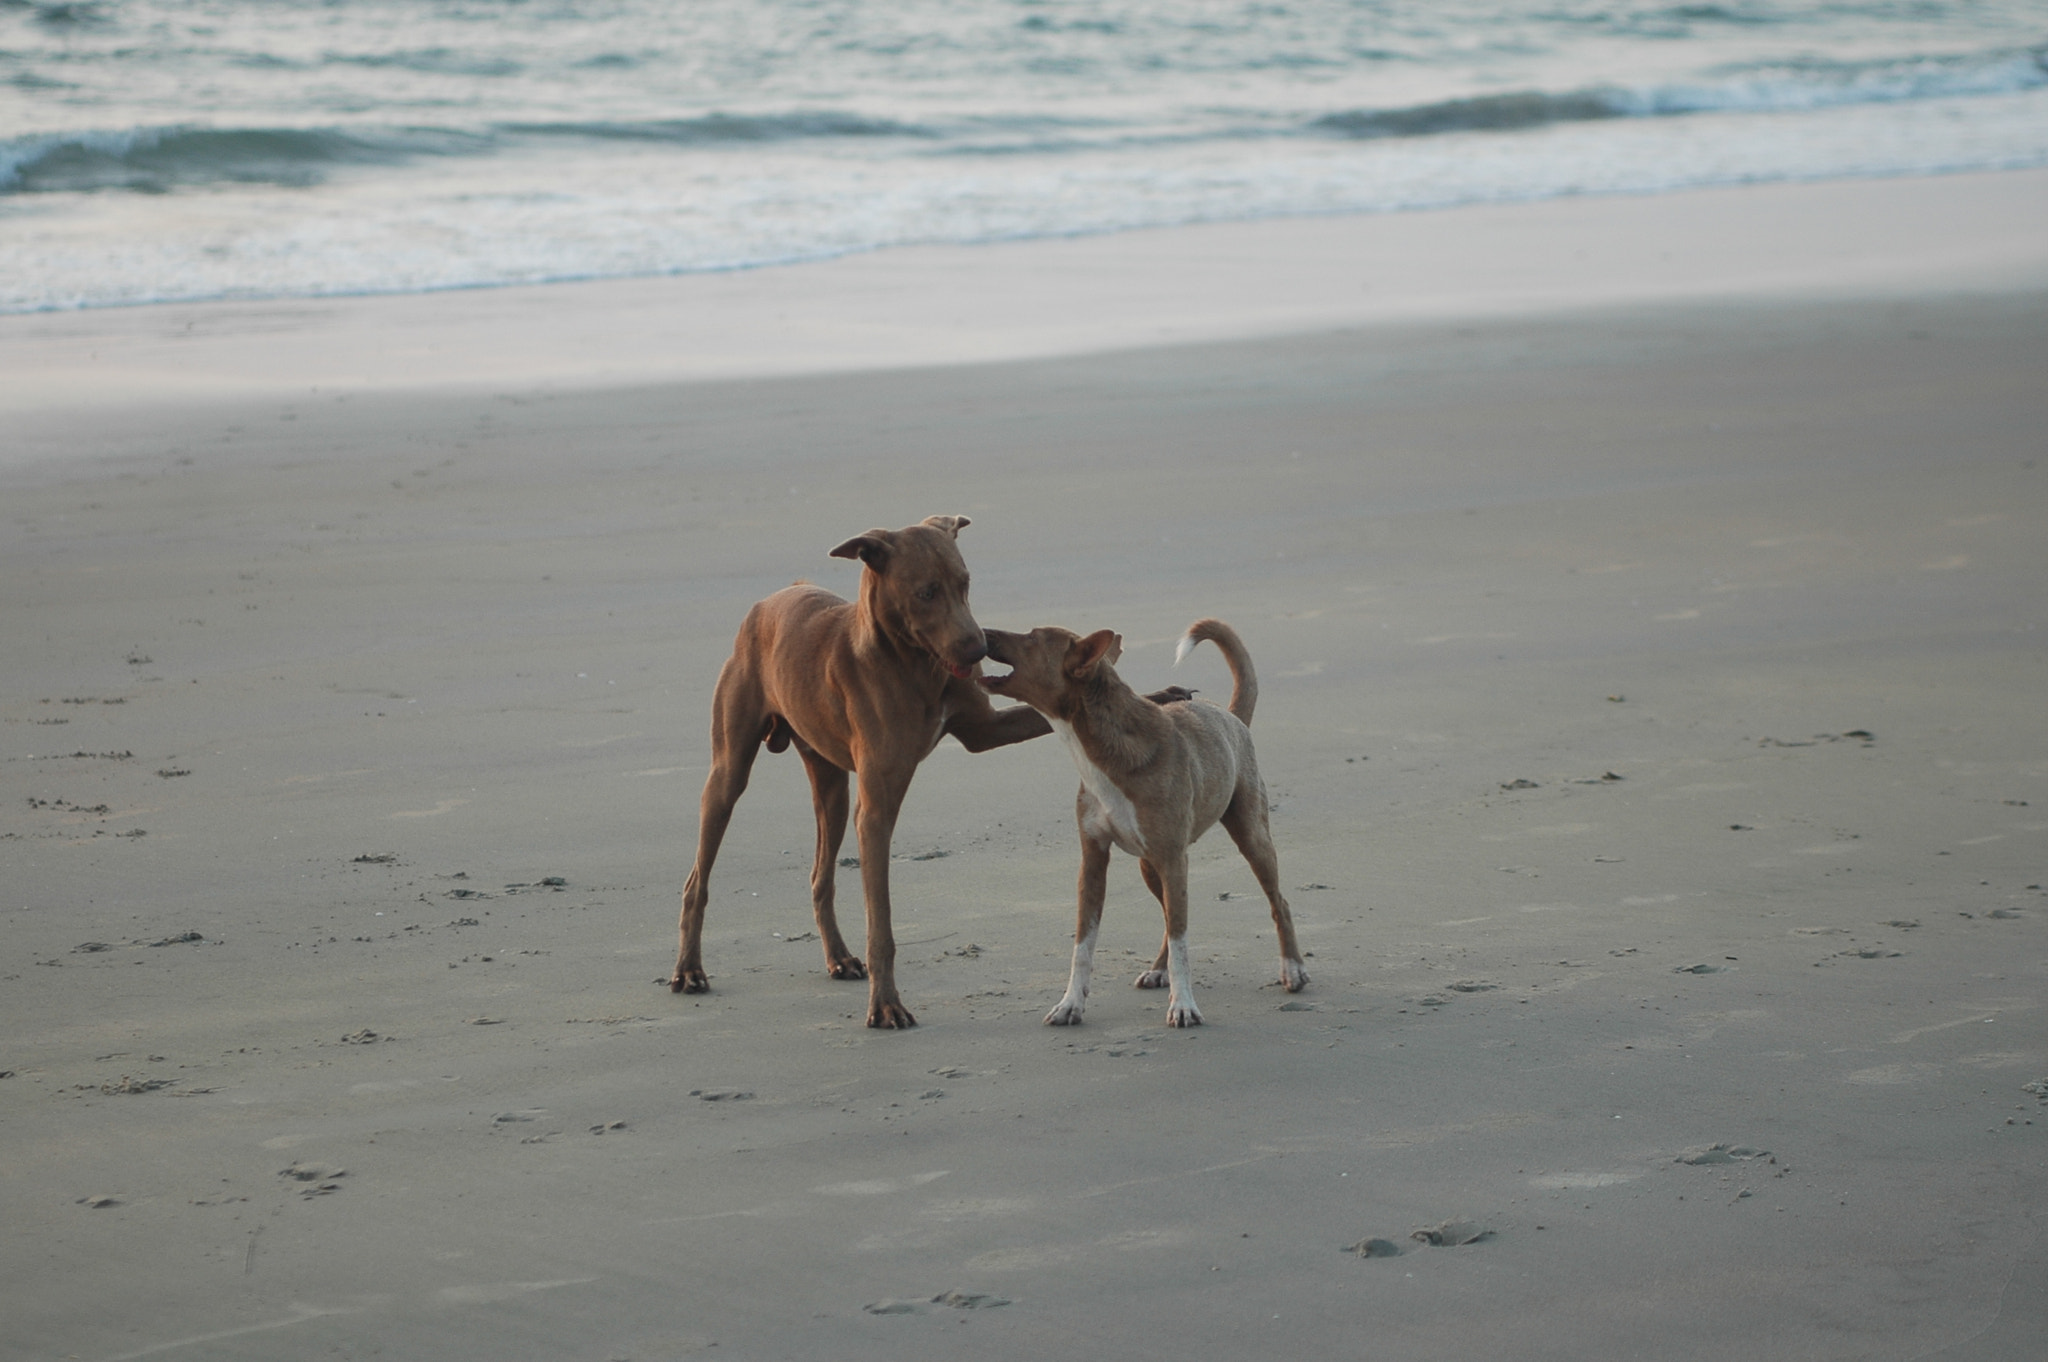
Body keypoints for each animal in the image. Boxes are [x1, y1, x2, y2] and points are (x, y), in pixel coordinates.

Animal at [675, 516, 1048, 1024]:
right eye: (926, 592)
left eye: (965, 583)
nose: (978, 650)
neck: (913, 664)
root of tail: (773, 598)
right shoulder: (875, 811)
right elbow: (882, 925)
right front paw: (886, 1005)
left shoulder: (987, 730)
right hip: (727, 775)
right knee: (698, 880)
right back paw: (688, 970)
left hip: (831, 788)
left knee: (821, 877)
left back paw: (838, 957)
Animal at [978, 614, 1310, 1019]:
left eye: (1032, 638)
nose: (982, 631)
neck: (1098, 752)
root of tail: (1232, 717)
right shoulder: (1093, 862)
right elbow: (1083, 944)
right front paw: (1071, 1003)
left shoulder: (1173, 858)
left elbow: (1183, 942)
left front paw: (1184, 1006)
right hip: (1151, 866)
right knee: (1170, 915)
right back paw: (1157, 969)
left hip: (1249, 838)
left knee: (1278, 902)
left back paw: (1292, 968)